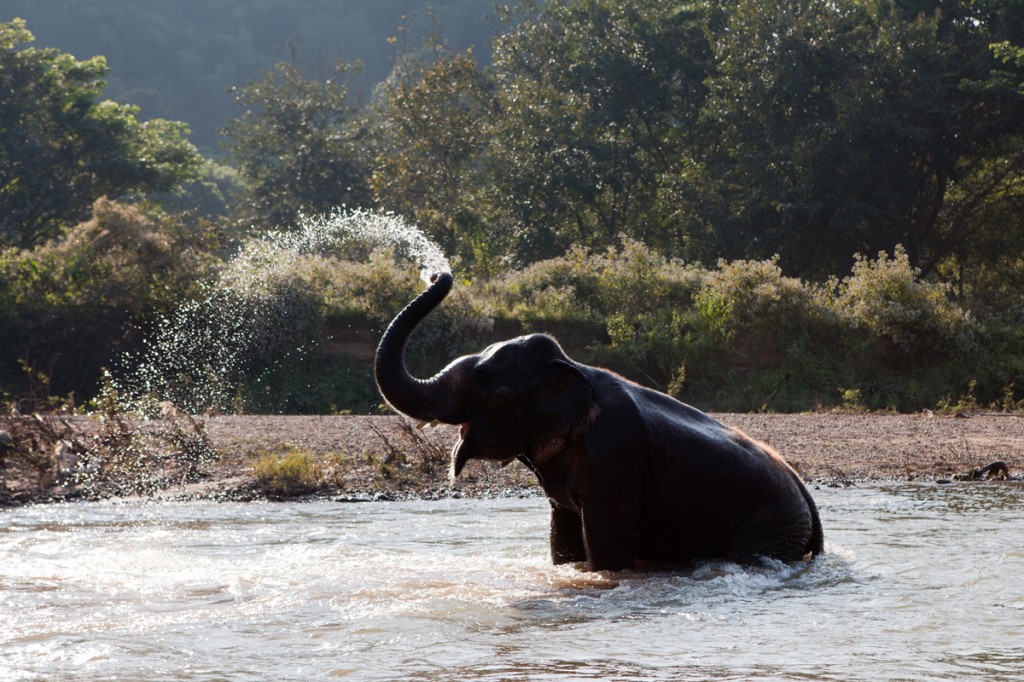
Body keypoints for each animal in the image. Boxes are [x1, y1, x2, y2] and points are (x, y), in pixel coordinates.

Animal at [376, 270, 823, 569]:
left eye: (486, 382)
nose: (435, 272)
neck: (573, 367)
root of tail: (807, 498)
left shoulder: (613, 452)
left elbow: (608, 541)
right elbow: (563, 536)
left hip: (769, 526)